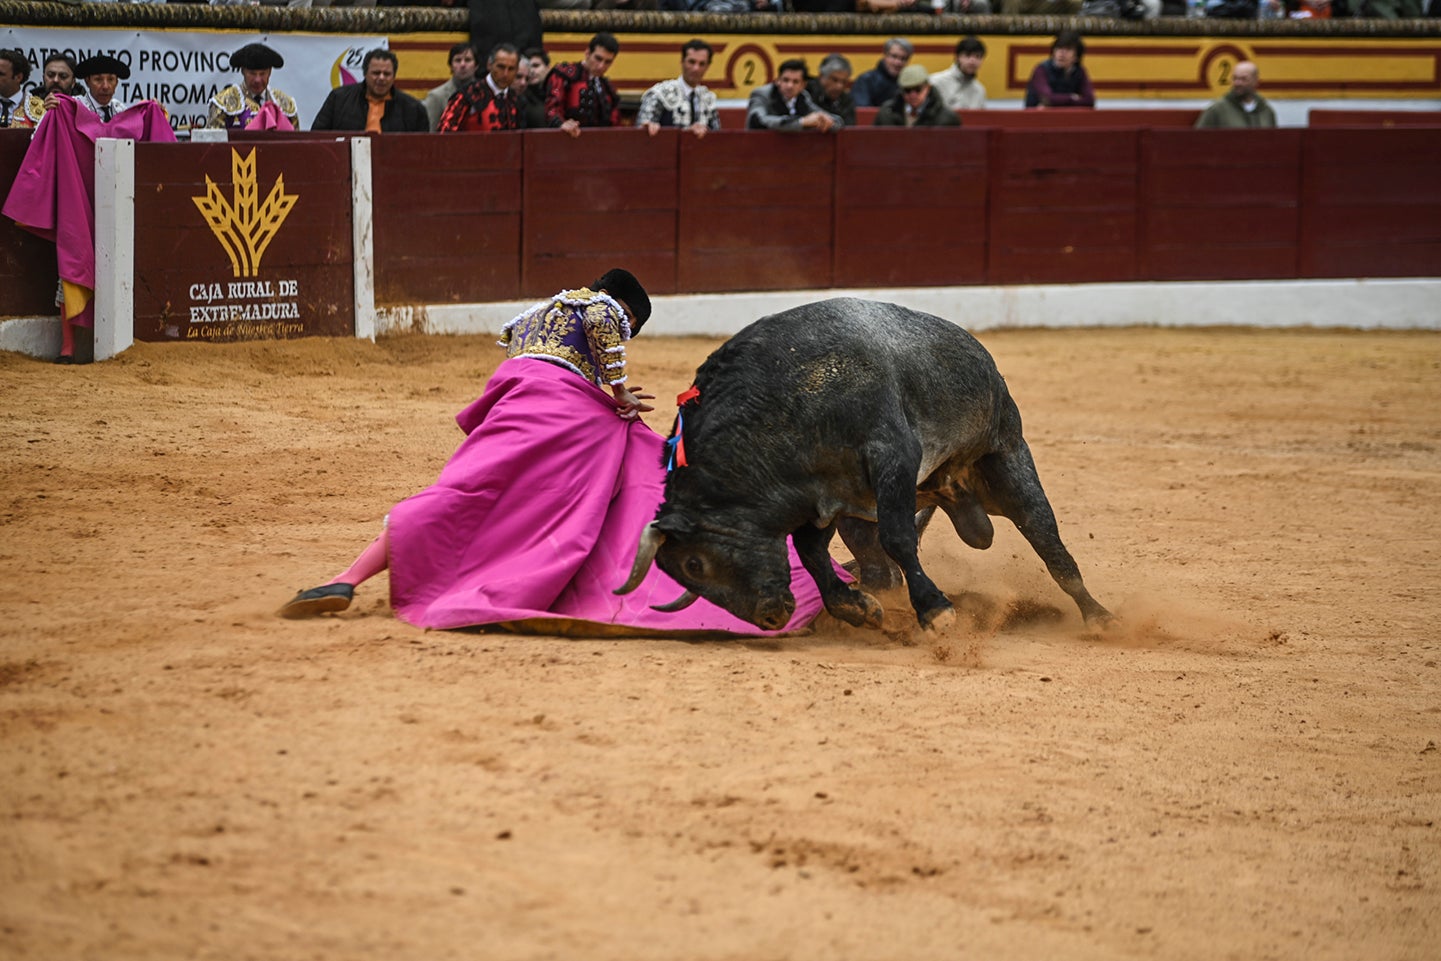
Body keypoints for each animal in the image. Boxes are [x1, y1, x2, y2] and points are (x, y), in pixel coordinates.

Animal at [613, 296, 1106, 633]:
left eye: (695, 565)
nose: (769, 617)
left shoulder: (893, 458)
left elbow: (898, 537)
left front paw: (937, 612)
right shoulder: (825, 498)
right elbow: (811, 552)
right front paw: (858, 608)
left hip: (1005, 459)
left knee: (1049, 543)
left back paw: (1099, 617)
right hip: (899, 500)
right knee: (877, 563)